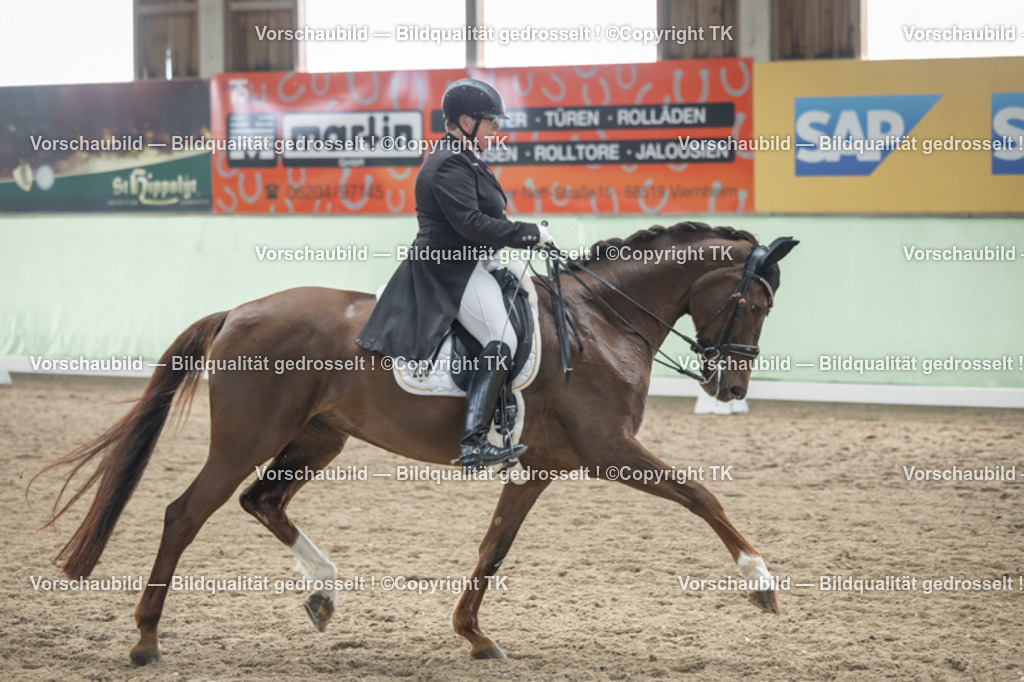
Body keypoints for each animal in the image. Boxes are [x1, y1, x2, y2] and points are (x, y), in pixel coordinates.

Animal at [33, 221, 797, 664]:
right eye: (758, 304)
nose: (730, 387)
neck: (602, 323)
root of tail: (240, 311)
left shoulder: (539, 467)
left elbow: (493, 547)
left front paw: (474, 635)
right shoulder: (609, 451)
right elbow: (701, 494)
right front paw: (760, 582)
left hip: (319, 438)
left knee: (263, 502)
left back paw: (324, 594)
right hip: (249, 437)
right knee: (185, 514)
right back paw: (146, 638)